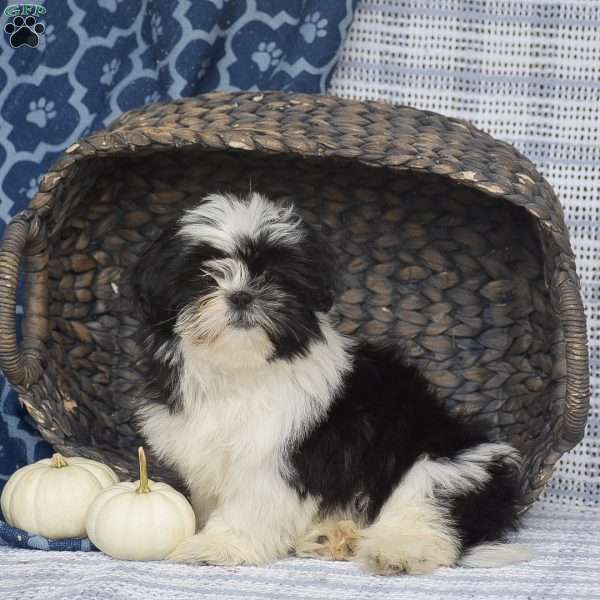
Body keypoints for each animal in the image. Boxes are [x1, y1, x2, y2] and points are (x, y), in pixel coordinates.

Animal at [132, 192, 528, 576]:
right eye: (204, 275)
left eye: (272, 275)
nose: (242, 295)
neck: (243, 368)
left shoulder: (281, 453)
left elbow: (253, 502)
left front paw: (218, 545)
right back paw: (333, 536)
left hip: (445, 458)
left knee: (429, 503)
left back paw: (395, 551)